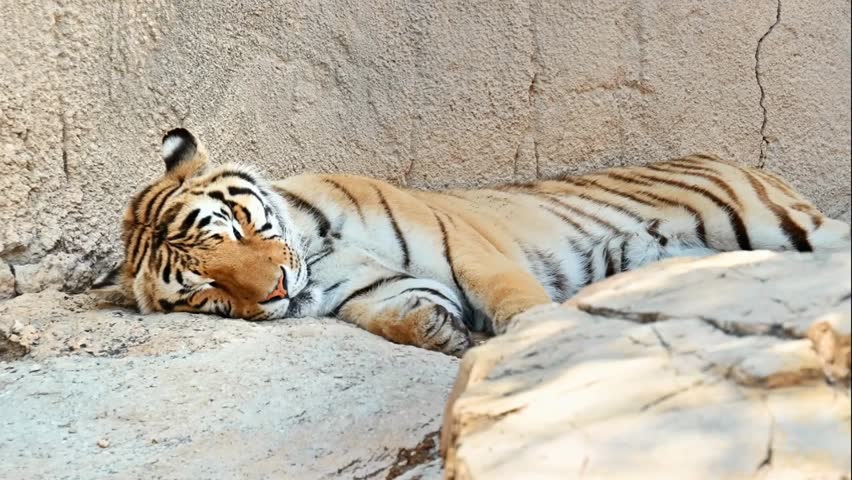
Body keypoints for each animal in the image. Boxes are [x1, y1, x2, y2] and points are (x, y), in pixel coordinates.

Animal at [91, 127, 851, 357]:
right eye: (209, 291)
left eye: (238, 227)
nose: (276, 290)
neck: (320, 246)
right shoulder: (372, 289)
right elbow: (395, 313)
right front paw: (442, 332)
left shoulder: (468, 248)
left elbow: (514, 298)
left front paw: (533, 340)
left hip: (769, 222)